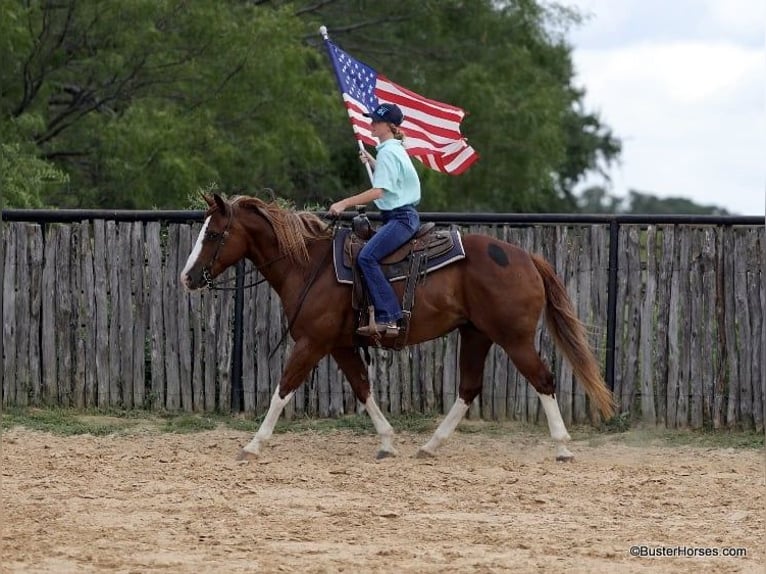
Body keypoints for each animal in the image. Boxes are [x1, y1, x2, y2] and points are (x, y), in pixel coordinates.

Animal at [180, 194, 616, 461]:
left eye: (214, 234)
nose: (187, 277)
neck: (309, 266)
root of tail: (526, 257)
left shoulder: (311, 342)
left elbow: (283, 389)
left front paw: (253, 445)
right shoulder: (339, 345)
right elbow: (363, 389)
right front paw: (388, 443)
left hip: (514, 338)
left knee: (543, 380)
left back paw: (562, 448)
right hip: (476, 334)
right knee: (468, 389)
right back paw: (430, 446)